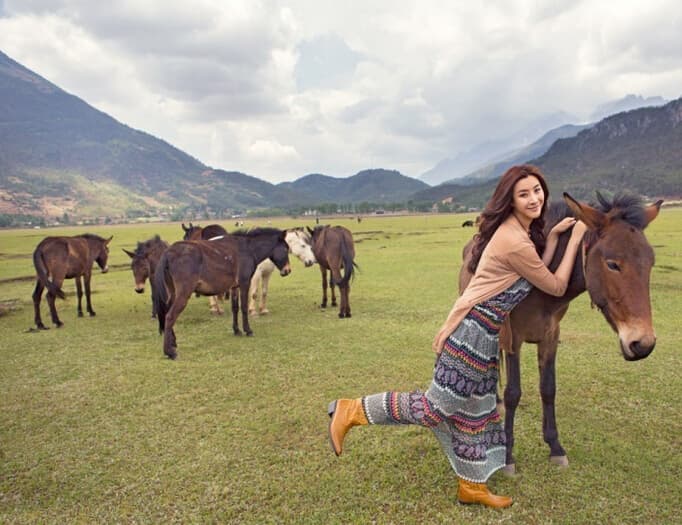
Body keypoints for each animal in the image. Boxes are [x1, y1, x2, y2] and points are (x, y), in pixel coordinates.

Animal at [456, 191, 660, 470]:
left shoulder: (551, 336)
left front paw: (555, 446)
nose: (643, 344)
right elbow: (513, 393)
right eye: (612, 264)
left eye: (650, 263)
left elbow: (549, 388)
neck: (540, 287)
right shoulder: (514, 340)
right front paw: (507, 455)